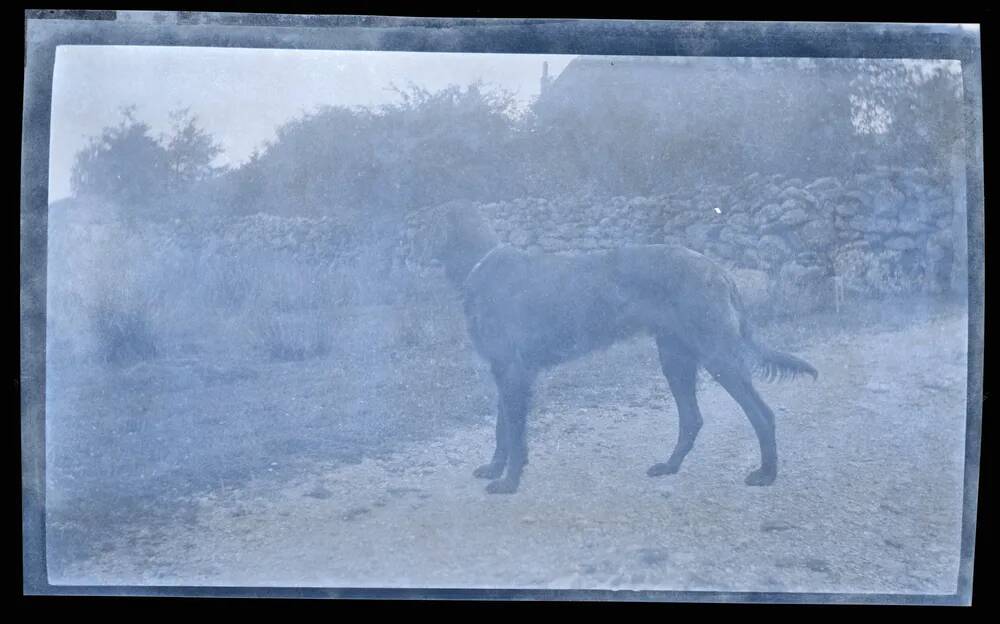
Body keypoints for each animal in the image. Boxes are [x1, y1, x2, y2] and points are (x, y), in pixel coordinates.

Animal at [418, 202, 816, 494]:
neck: (480, 263)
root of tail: (718, 270)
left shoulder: (513, 372)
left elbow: (513, 432)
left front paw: (509, 481)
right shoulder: (504, 372)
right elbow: (503, 428)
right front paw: (495, 468)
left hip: (717, 354)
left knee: (761, 414)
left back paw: (766, 474)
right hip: (675, 357)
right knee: (691, 418)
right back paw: (669, 466)